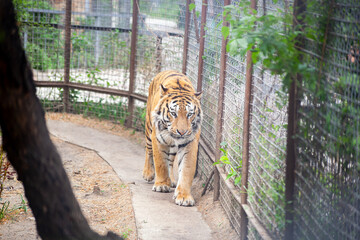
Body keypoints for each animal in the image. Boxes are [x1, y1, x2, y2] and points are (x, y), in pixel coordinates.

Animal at [142, 70, 202, 206]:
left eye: (189, 114)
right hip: (149, 129)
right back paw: (148, 174)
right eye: (173, 113)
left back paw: (172, 181)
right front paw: (162, 185)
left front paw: (184, 196)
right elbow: (160, 163)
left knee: (170, 161)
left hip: (173, 147)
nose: (182, 132)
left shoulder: (190, 143)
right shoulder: (157, 139)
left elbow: (186, 169)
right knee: (148, 151)